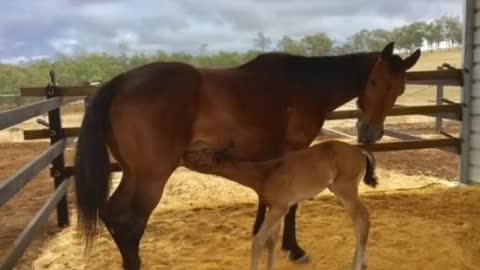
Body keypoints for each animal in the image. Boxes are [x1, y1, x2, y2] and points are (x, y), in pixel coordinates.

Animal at [184, 139, 378, 270]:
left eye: (201, 152)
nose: (183, 155)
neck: (265, 174)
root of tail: (361, 152)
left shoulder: (279, 208)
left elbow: (259, 240)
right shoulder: (276, 209)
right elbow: (272, 242)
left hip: (345, 189)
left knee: (363, 217)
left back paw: (358, 264)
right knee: (358, 220)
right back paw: (362, 262)